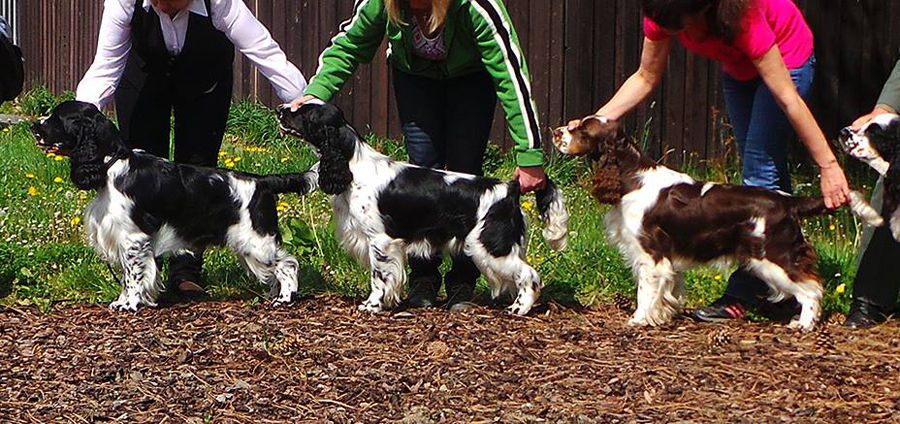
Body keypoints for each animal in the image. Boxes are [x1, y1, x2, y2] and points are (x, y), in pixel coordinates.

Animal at [552, 116, 884, 332]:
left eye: (582, 129)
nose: (556, 131)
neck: (630, 175)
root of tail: (789, 202)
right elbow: (670, 289)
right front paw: (664, 315)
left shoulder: (651, 253)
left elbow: (646, 290)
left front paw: (639, 319)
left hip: (772, 257)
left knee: (812, 288)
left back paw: (803, 324)